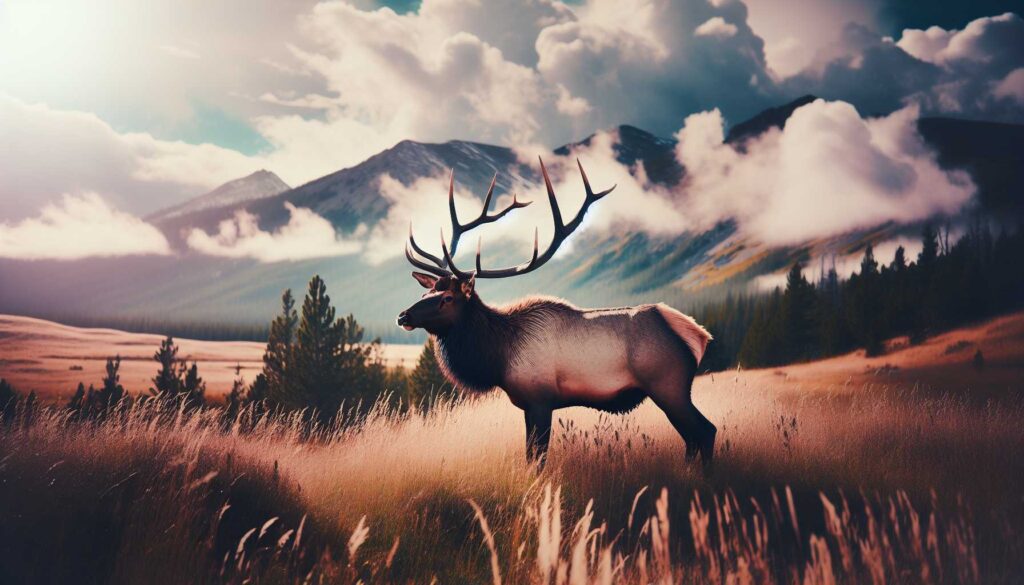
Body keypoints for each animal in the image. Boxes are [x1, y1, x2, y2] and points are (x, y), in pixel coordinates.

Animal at [397, 158, 717, 470]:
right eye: (425, 294)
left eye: (447, 298)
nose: (403, 316)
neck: (498, 356)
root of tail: (698, 335)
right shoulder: (528, 405)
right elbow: (530, 456)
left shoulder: (540, 400)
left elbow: (537, 460)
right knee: (692, 439)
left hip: (669, 384)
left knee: (706, 431)